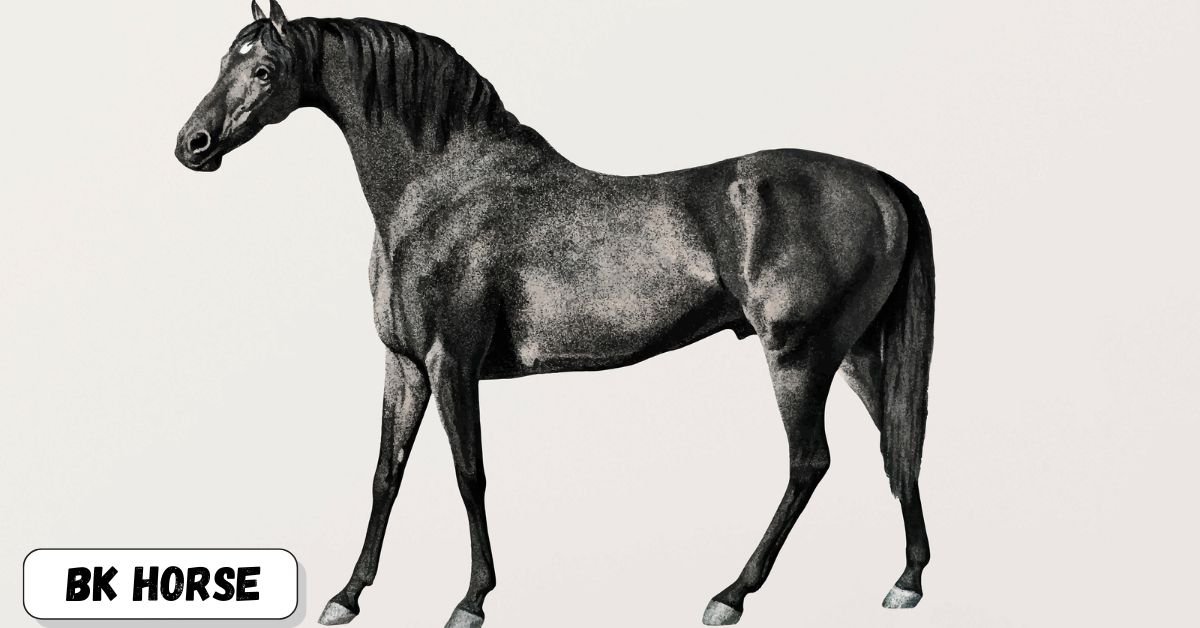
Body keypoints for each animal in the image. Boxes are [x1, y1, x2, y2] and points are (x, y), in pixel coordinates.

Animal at [175, 2, 935, 627]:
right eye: (223, 62)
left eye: (265, 68)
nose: (193, 145)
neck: (441, 191)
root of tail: (878, 183)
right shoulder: (404, 366)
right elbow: (385, 475)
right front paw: (347, 595)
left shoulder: (452, 364)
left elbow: (469, 474)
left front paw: (472, 600)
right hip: (856, 355)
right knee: (895, 448)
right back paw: (907, 580)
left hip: (799, 358)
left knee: (810, 463)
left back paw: (730, 595)